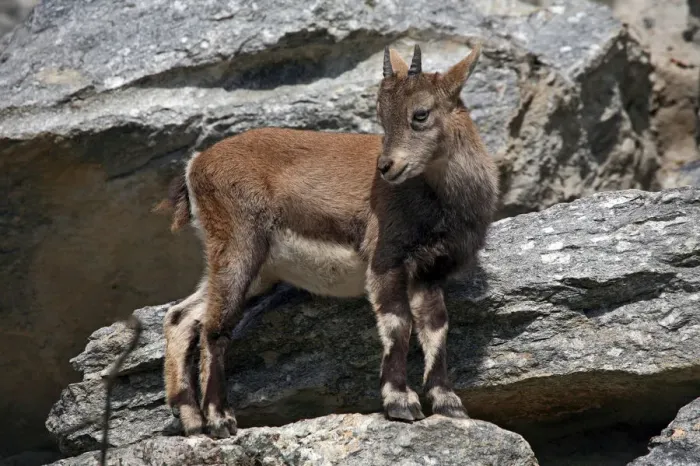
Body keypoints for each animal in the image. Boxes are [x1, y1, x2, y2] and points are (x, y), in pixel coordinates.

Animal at [157, 42, 499, 438]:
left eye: (420, 114)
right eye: (381, 117)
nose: (386, 167)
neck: (441, 199)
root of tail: (195, 165)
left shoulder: (430, 271)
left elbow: (436, 327)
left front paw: (448, 403)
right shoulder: (386, 257)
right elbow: (397, 323)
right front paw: (400, 401)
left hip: (257, 270)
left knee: (182, 316)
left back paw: (189, 417)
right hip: (238, 244)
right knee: (215, 327)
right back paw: (218, 418)